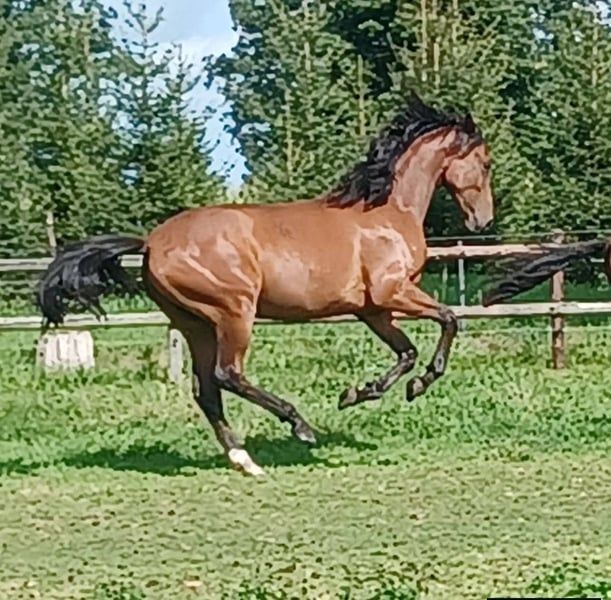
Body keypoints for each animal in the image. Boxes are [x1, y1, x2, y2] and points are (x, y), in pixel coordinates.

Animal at [36, 93, 495, 476]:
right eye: (486, 162)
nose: (483, 221)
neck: (386, 211)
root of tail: (150, 243)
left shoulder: (373, 309)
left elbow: (407, 352)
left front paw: (359, 393)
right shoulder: (392, 293)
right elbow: (449, 320)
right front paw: (416, 385)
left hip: (195, 323)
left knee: (206, 390)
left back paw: (245, 459)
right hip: (234, 311)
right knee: (227, 375)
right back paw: (299, 425)